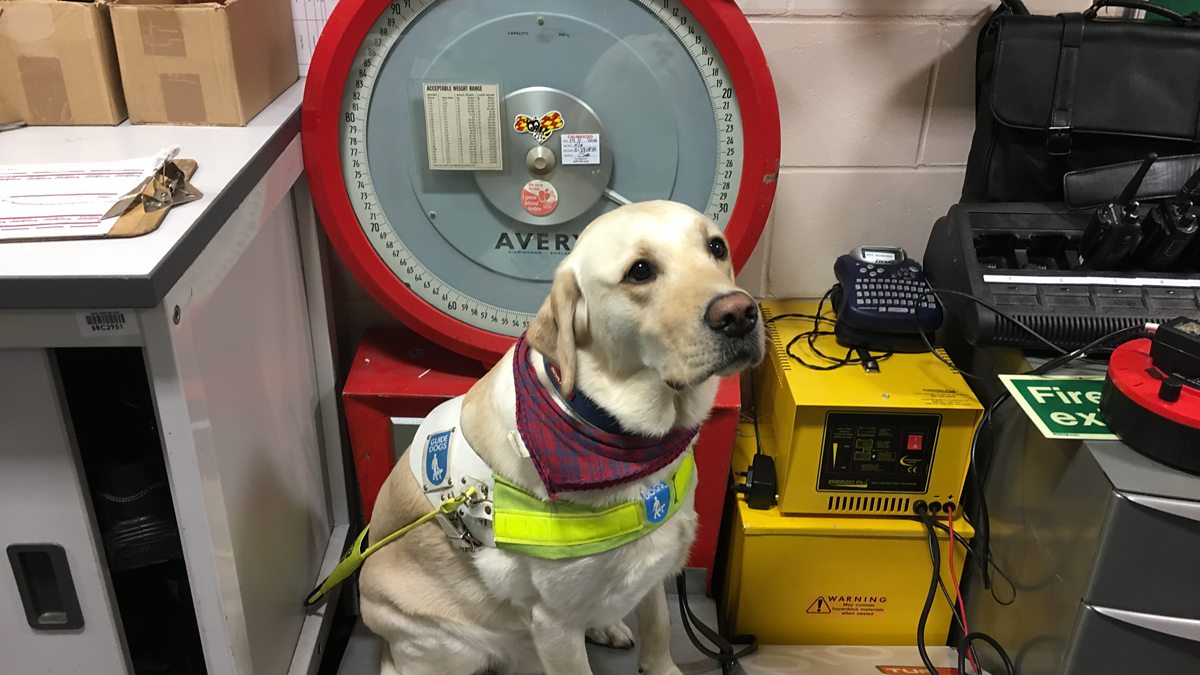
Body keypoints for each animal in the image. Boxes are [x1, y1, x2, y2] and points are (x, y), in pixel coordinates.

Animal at [358, 200, 764, 675]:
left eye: (716, 247)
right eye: (640, 271)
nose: (739, 313)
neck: (624, 440)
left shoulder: (654, 569)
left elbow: (660, 629)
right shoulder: (555, 623)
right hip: (450, 643)